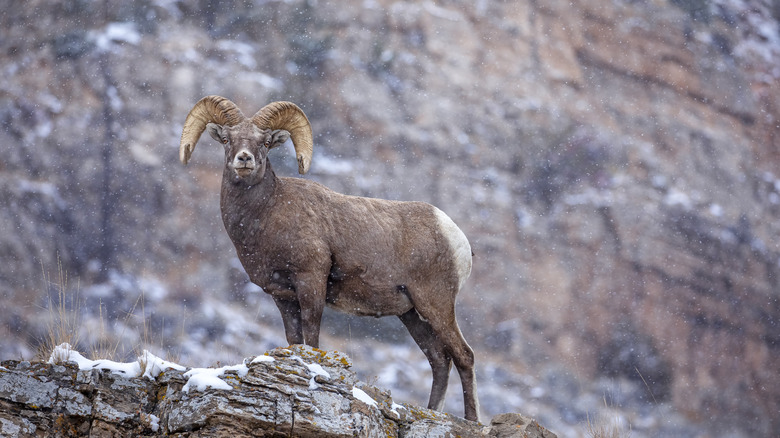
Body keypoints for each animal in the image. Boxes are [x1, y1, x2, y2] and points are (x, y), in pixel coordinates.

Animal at [179, 96, 478, 420]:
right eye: (227, 139)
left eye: (265, 142)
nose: (243, 159)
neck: (268, 212)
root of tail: (456, 236)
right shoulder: (283, 297)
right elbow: (295, 339)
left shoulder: (311, 282)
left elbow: (312, 337)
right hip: (411, 313)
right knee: (438, 359)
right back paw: (432, 411)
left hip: (436, 303)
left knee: (463, 355)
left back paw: (472, 420)